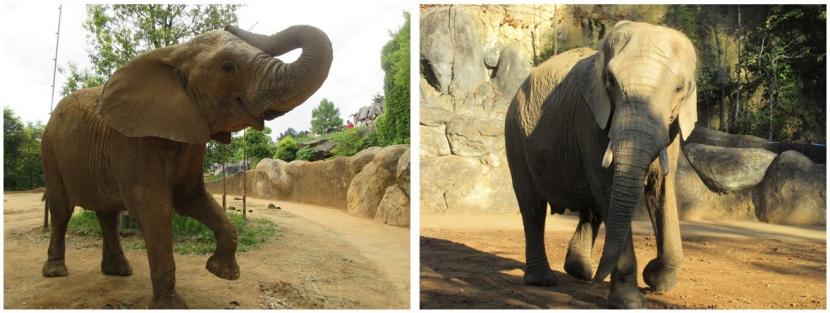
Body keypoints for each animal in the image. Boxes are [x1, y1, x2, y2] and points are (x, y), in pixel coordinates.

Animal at [39, 25, 332, 308]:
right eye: (227, 67)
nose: (230, 25)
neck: (176, 53)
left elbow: (191, 198)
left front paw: (222, 272)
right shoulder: (132, 141)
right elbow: (155, 209)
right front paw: (170, 305)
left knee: (107, 212)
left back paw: (119, 271)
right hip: (49, 149)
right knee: (62, 208)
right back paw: (56, 273)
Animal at [504, 20, 700, 308]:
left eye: (680, 89)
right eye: (611, 81)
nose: (600, 279)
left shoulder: (671, 128)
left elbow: (661, 191)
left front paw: (656, 280)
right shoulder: (590, 119)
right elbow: (607, 188)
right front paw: (629, 302)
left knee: (591, 208)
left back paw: (580, 272)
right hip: (515, 135)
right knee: (532, 207)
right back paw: (545, 280)